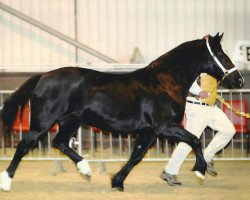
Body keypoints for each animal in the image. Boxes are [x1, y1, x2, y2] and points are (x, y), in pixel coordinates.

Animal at [0, 33, 243, 191]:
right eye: (222, 55)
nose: (239, 80)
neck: (164, 83)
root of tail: (43, 76)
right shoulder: (164, 127)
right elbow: (194, 139)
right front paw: (200, 171)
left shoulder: (149, 131)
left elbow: (136, 156)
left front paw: (117, 181)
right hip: (43, 122)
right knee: (24, 145)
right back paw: (6, 181)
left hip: (71, 121)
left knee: (59, 142)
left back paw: (86, 169)